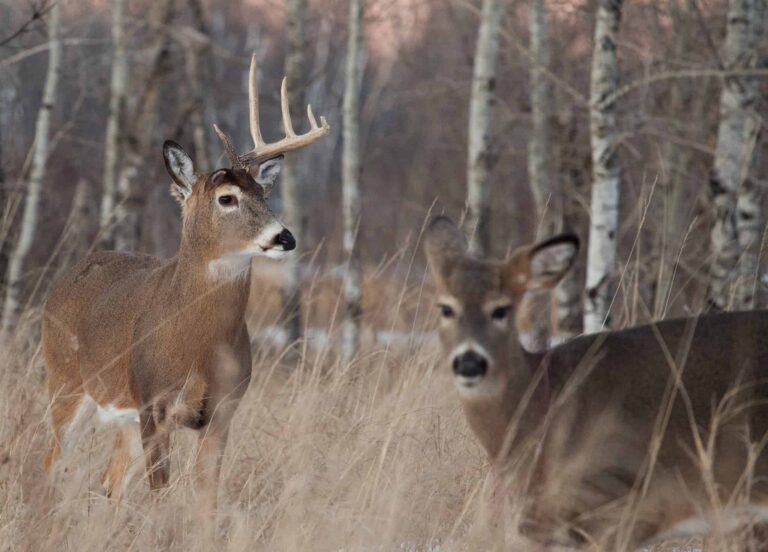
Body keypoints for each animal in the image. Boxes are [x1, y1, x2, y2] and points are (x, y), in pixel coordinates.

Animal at [42, 56, 330, 508]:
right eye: (226, 197)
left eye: (264, 195)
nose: (285, 237)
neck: (197, 346)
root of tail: (65, 278)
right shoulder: (154, 405)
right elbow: (161, 493)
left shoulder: (223, 409)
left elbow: (206, 498)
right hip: (65, 382)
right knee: (49, 465)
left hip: (120, 414)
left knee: (109, 481)